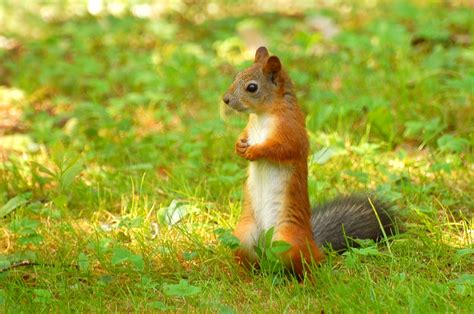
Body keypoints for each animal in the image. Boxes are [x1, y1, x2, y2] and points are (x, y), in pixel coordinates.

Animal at [224, 46, 394, 278]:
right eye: (236, 76)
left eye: (252, 87)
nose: (225, 99)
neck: (262, 116)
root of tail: (314, 244)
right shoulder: (250, 128)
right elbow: (244, 135)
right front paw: (238, 145)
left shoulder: (292, 130)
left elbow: (283, 149)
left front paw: (254, 151)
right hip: (244, 238)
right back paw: (247, 278)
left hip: (288, 241)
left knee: (309, 264)